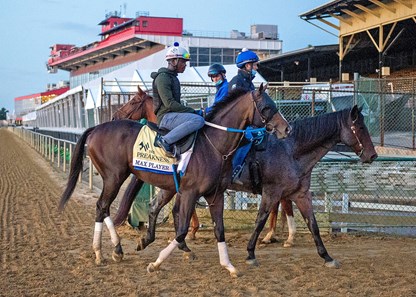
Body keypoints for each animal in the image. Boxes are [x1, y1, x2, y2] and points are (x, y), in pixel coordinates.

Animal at [58, 84, 290, 276]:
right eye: (267, 107)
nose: (286, 128)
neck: (214, 146)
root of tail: (96, 128)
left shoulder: (214, 195)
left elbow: (218, 229)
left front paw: (229, 265)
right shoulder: (188, 193)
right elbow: (181, 229)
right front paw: (157, 262)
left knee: (104, 208)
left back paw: (115, 249)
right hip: (114, 177)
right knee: (101, 206)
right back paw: (103, 251)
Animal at [114, 104, 376, 268]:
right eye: (361, 128)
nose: (372, 155)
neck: (292, 149)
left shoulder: (300, 194)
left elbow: (313, 225)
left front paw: (326, 256)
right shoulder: (272, 192)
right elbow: (260, 220)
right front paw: (251, 252)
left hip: (170, 187)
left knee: (158, 207)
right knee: (169, 210)